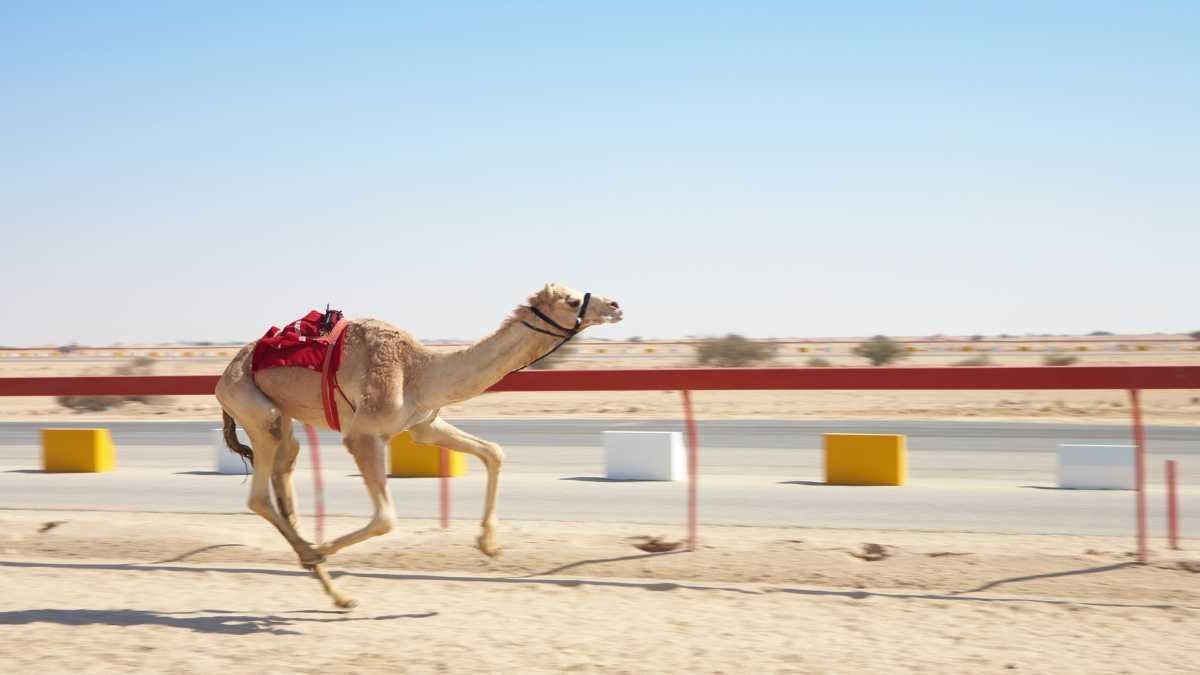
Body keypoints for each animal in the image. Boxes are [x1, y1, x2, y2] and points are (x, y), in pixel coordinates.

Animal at [214, 283, 623, 607]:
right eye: (571, 301)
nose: (616, 305)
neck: (420, 370)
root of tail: (222, 379)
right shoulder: (363, 434)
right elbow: (385, 518)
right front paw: (322, 549)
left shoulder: (425, 425)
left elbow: (494, 452)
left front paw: (488, 545)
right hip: (256, 409)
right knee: (260, 496)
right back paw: (314, 558)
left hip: (283, 422)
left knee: (285, 485)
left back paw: (337, 593)